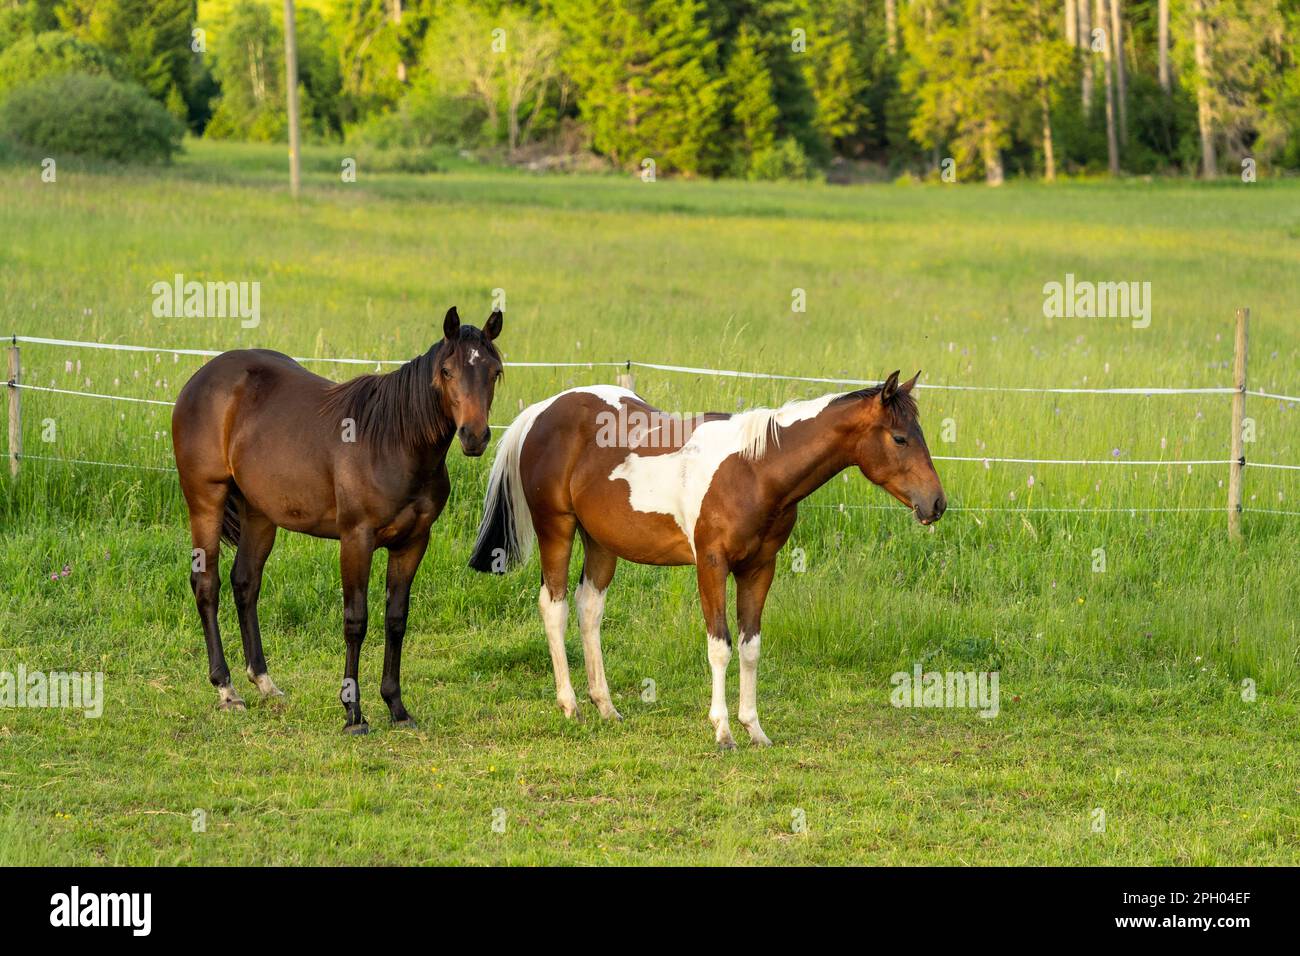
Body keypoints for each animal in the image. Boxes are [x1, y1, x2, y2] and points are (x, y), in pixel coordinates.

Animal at [180, 306, 504, 733]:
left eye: (494, 371)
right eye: (447, 371)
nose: (474, 436)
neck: (395, 442)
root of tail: (200, 379)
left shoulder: (413, 542)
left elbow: (396, 620)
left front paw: (397, 707)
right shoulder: (356, 539)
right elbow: (356, 621)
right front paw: (353, 713)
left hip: (260, 514)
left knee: (245, 583)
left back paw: (264, 682)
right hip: (206, 500)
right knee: (207, 585)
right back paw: (226, 689)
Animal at [467, 369, 946, 749]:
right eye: (900, 438)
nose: (936, 503)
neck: (755, 469)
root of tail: (542, 412)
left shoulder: (759, 569)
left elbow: (750, 647)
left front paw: (754, 728)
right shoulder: (711, 566)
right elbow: (720, 646)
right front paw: (723, 730)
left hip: (601, 543)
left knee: (589, 611)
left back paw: (606, 707)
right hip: (558, 530)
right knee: (555, 607)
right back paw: (570, 706)